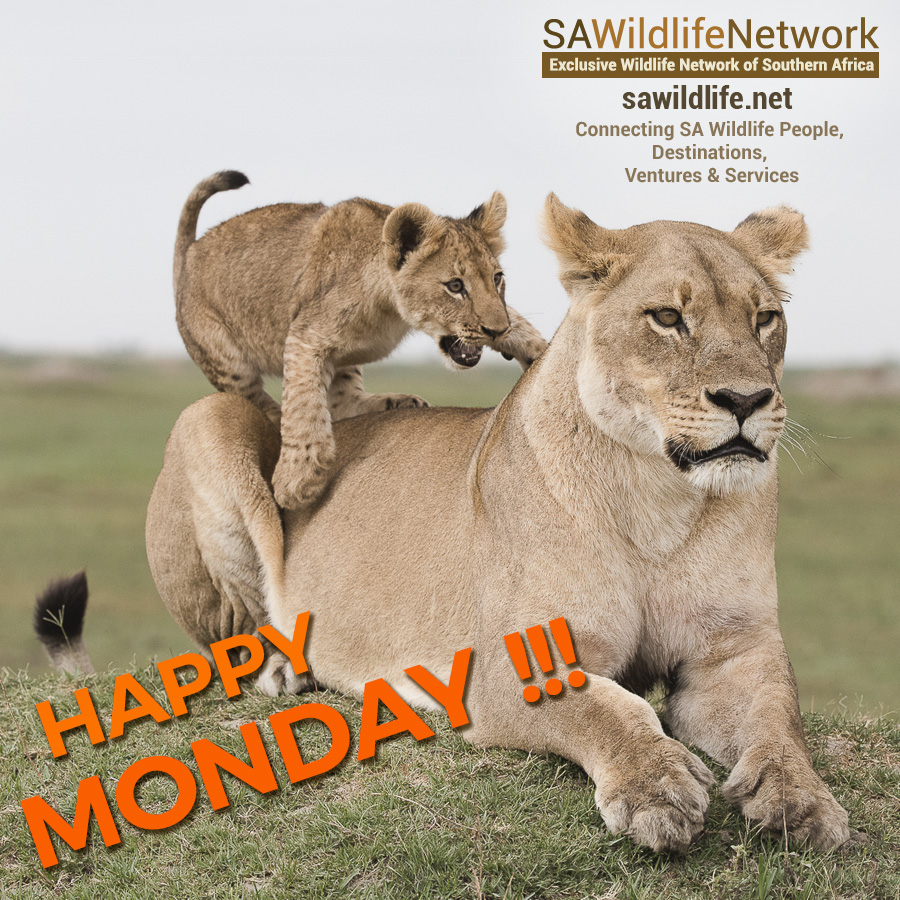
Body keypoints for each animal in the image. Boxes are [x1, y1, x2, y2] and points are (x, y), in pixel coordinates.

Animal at [174, 171, 548, 509]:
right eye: (455, 286)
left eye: (497, 279)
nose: (495, 331)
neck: (389, 310)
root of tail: (189, 253)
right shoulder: (304, 334)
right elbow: (303, 405)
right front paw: (297, 480)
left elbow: (519, 322)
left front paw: (541, 354)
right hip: (226, 358)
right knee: (264, 403)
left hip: (343, 362)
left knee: (342, 403)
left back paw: (399, 402)